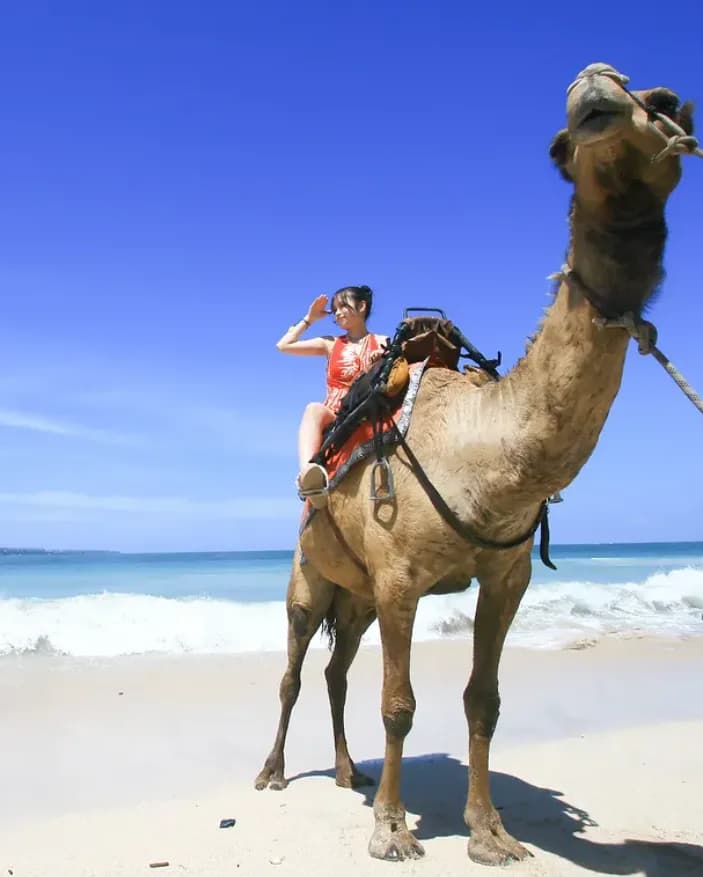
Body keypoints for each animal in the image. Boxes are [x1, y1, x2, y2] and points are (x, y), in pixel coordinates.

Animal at [255, 63, 698, 866]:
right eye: (563, 141)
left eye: (663, 104)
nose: (597, 89)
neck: (484, 455)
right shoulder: (400, 577)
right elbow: (399, 705)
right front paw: (392, 831)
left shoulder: (505, 575)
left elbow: (482, 700)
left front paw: (491, 834)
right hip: (309, 581)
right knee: (295, 670)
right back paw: (273, 772)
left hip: (355, 599)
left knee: (335, 671)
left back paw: (349, 772)